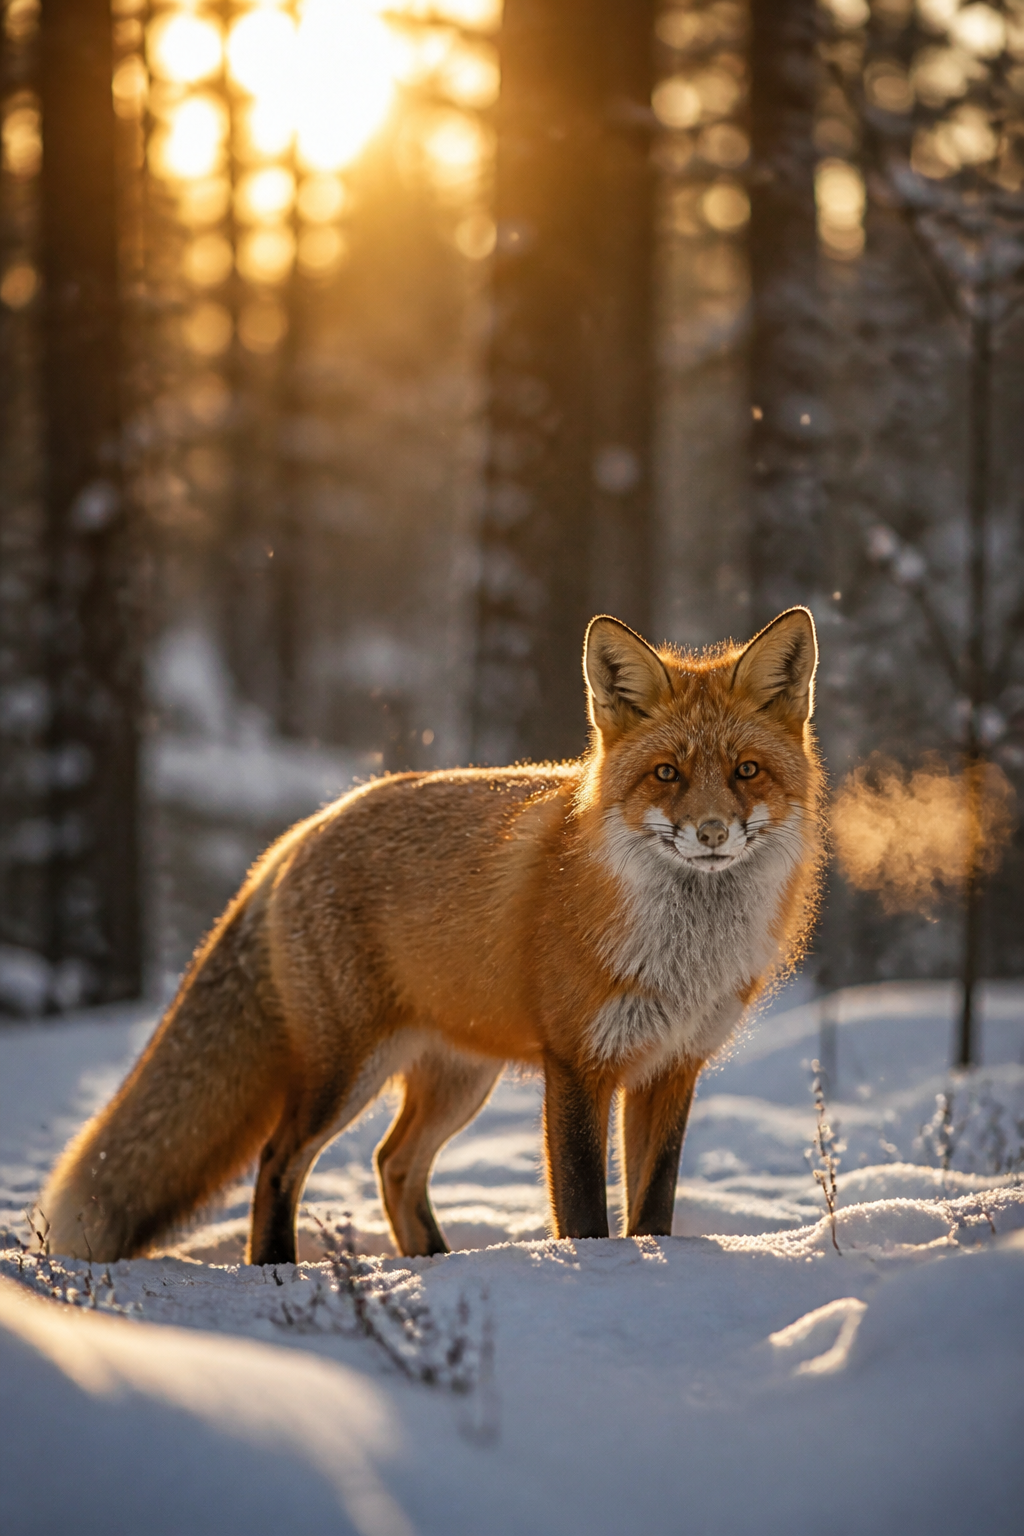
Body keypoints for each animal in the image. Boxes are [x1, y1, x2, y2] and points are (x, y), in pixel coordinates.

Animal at [38, 607, 823, 1265]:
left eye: (746, 771)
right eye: (667, 773)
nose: (712, 833)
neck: (682, 955)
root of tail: (305, 829)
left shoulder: (672, 1067)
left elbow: (652, 1207)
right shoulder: (578, 1064)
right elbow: (582, 1211)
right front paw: (595, 1277)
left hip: (457, 1077)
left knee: (393, 1163)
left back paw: (434, 1262)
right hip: (345, 1072)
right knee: (278, 1159)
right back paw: (277, 1269)